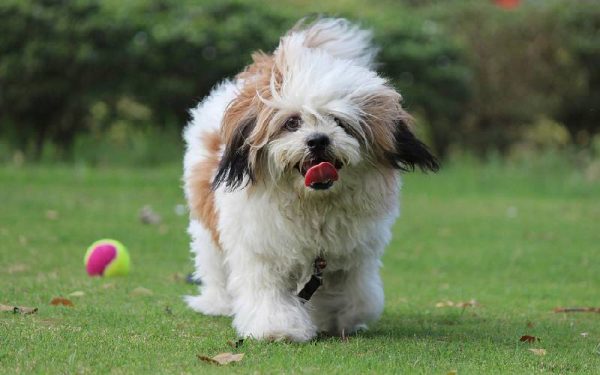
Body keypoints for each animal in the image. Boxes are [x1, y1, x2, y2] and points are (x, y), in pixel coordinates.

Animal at [180, 17, 438, 342]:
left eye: (340, 122)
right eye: (292, 123)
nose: (318, 140)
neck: (313, 204)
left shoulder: (351, 256)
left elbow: (357, 297)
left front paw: (337, 318)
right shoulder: (261, 248)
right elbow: (268, 292)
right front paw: (278, 327)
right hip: (207, 226)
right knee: (213, 263)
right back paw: (217, 303)